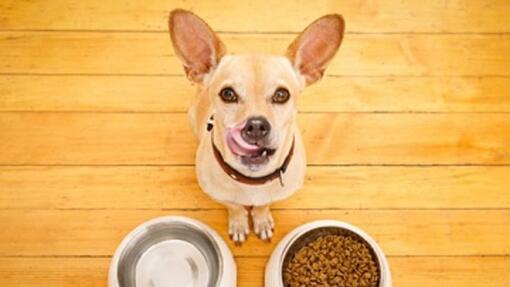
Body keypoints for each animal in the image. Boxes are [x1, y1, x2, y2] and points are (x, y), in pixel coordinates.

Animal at [169, 9, 344, 244]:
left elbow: (263, 205)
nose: (256, 126)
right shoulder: (223, 197)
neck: (251, 182)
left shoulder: (270, 196)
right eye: (228, 94)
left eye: (281, 95)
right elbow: (234, 207)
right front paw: (239, 223)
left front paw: (261, 220)